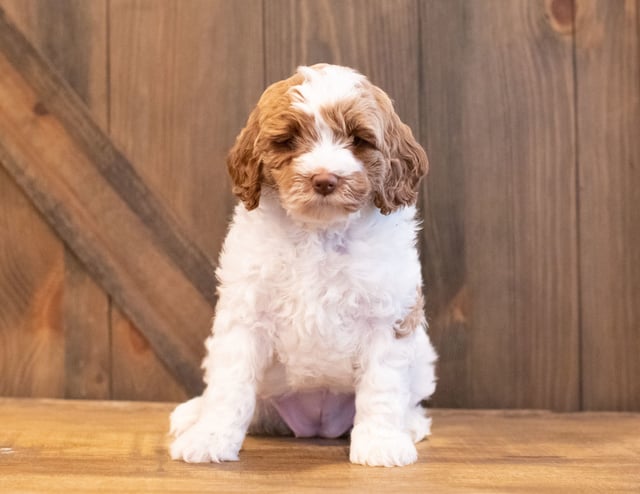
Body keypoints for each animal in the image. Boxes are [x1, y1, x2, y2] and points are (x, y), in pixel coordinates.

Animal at [168, 63, 438, 466]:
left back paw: (410, 424)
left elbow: (383, 386)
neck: (319, 231)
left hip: (421, 358)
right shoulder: (246, 311)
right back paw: (192, 415)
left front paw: (381, 443)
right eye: (288, 140)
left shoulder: (387, 315)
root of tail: (316, 424)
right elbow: (230, 384)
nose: (324, 179)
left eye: (358, 140)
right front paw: (210, 437)